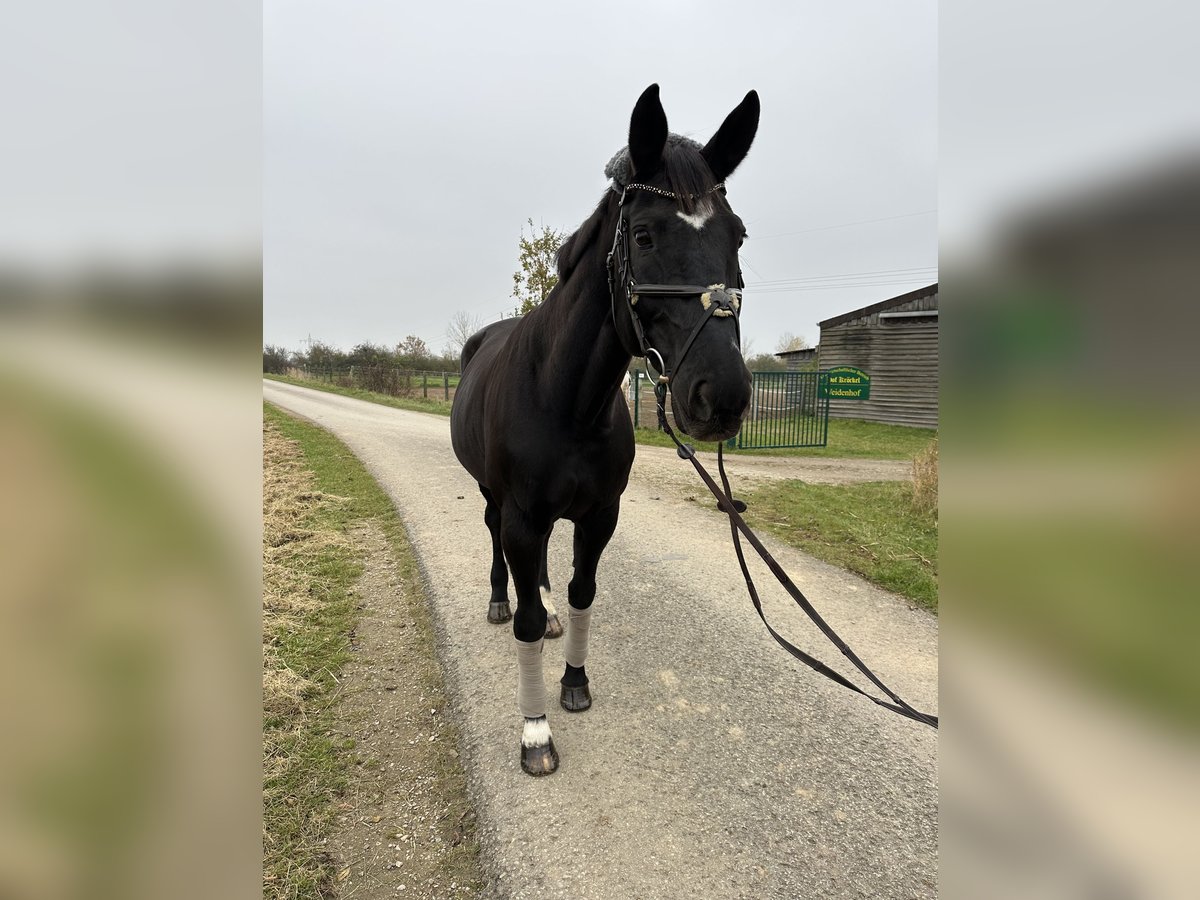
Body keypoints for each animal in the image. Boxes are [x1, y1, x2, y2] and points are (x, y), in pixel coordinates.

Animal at [451, 82, 758, 777]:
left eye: (739, 235)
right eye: (643, 235)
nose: (721, 396)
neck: (567, 403)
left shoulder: (600, 516)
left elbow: (581, 592)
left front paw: (574, 682)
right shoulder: (522, 514)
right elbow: (527, 619)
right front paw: (535, 732)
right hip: (493, 500)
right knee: (498, 545)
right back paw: (499, 598)